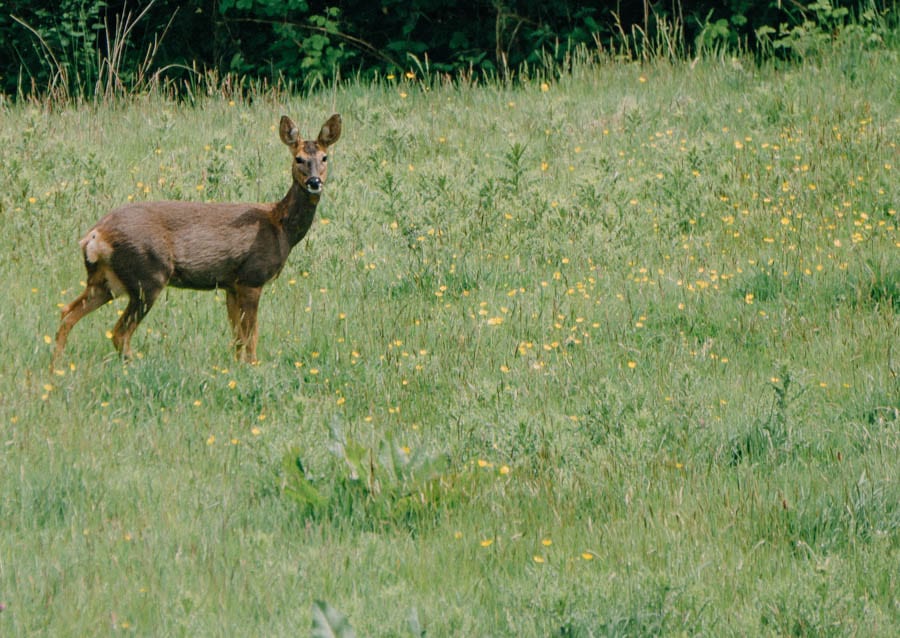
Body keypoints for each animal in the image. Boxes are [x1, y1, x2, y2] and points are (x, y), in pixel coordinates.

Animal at [52, 112, 342, 368]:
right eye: (299, 158)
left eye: (325, 157)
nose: (315, 182)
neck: (280, 227)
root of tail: (94, 235)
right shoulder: (252, 277)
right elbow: (251, 336)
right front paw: (254, 367)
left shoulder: (231, 284)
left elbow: (237, 338)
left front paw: (238, 368)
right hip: (147, 276)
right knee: (119, 332)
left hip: (106, 281)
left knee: (67, 313)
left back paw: (57, 368)